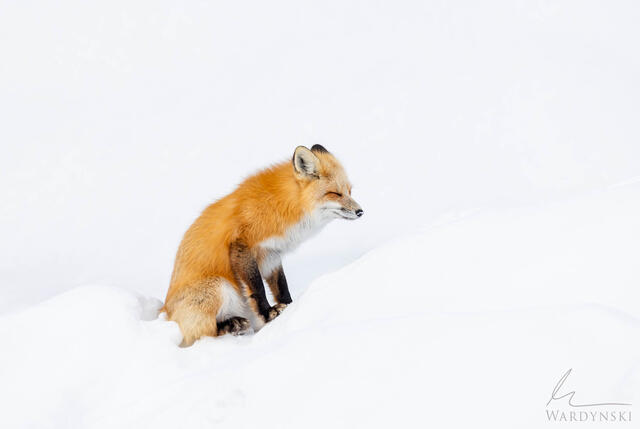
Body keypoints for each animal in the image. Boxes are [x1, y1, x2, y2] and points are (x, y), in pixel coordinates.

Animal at [163, 145, 363, 346]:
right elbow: (257, 288)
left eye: (349, 191)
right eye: (335, 193)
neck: (282, 205)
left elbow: (281, 285)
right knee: (202, 333)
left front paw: (290, 308)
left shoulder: (272, 253)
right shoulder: (242, 245)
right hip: (219, 286)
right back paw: (231, 325)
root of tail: (165, 313)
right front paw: (268, 313)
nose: (360, 211)